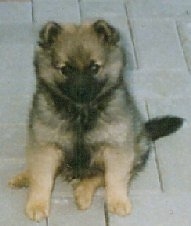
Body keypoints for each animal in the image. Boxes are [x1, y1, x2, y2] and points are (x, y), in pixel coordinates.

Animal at [8, 19, 182, 221]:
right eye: (65, 69)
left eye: (94, 67)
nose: (81, 91)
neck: (81, 112)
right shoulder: (45, 144)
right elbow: (42, 177)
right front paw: (37, 204)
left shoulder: (116, 146)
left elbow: (114, 177)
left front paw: (118, 201)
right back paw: (23, 176)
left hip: (134, 150)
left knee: (99, 176)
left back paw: (83, 191)